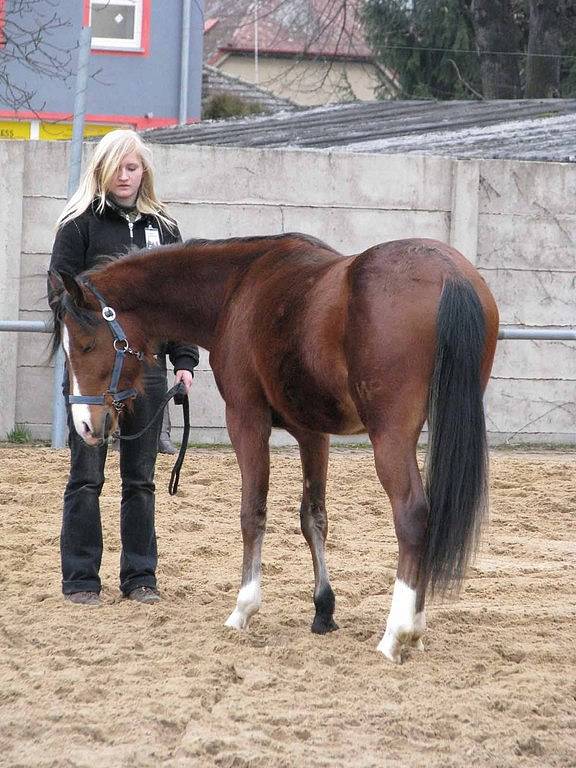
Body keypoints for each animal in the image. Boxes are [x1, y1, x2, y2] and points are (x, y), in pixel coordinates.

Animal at [49, 232, 500, 660]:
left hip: (390, 435)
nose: (85, 425)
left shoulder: (246, 419)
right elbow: (313, 518)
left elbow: (253, 512)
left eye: (87, 345)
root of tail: (449, 274)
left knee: (412, 515)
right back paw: (416, 629)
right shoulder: (312, 433)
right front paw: (323, 610)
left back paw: (397, 634)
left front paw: (243, 609)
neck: (238, 287)